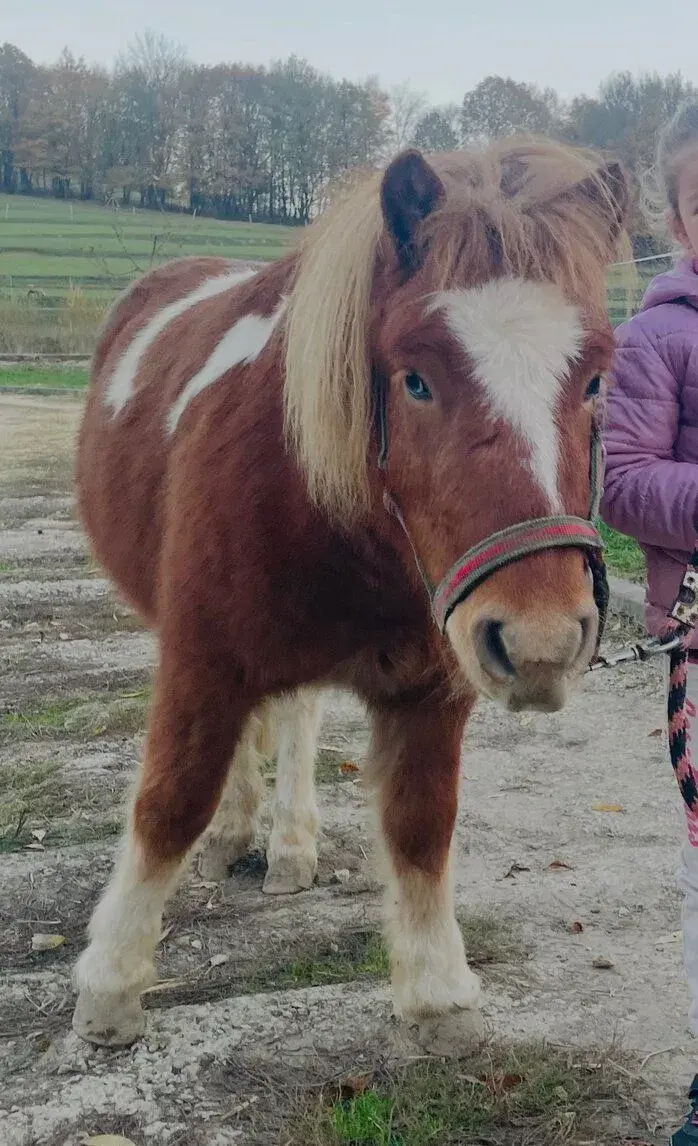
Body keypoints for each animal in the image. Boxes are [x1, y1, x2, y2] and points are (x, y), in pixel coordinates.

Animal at [71, 137, 628, 1050]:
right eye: (415, 380)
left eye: (594, 381)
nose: (542, 644)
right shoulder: (202, 658)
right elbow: (169, 802)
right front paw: (111, 985)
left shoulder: (434, 686)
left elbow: (422, 820)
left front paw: (437, 989)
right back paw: (238, 830)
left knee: (297, 714)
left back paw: (289, 843)